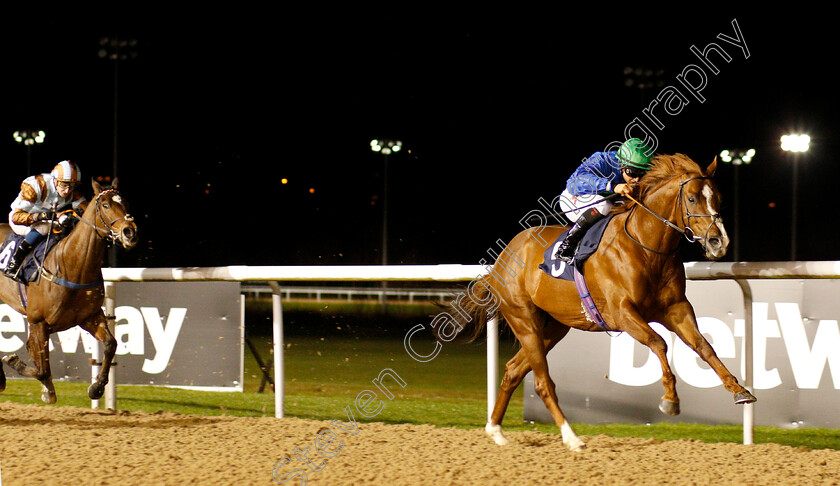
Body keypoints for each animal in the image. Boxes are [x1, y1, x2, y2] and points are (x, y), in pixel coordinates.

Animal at [0, 178, 136, 402]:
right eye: (105, 205)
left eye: (125, 202)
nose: (130, 232)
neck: (72, 265)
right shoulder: (38, 322)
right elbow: (41, 368)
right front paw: (14, 363)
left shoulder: (90, 316)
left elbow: (111, 344)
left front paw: (97, 387)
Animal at [456, 153, 756, 452]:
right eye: (692, 199)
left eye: (719, 198)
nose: (718, 241)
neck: (645, 246)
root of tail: (504, 257)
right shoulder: (622, 313)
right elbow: (659, 343)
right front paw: (670, 399)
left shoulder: (676, 308)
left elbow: (703, 346)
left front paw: (740, 390)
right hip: (523, 319)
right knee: (542, 382)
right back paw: (571, 437)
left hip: (553, 327)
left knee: (512, 370)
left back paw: (496, 430)